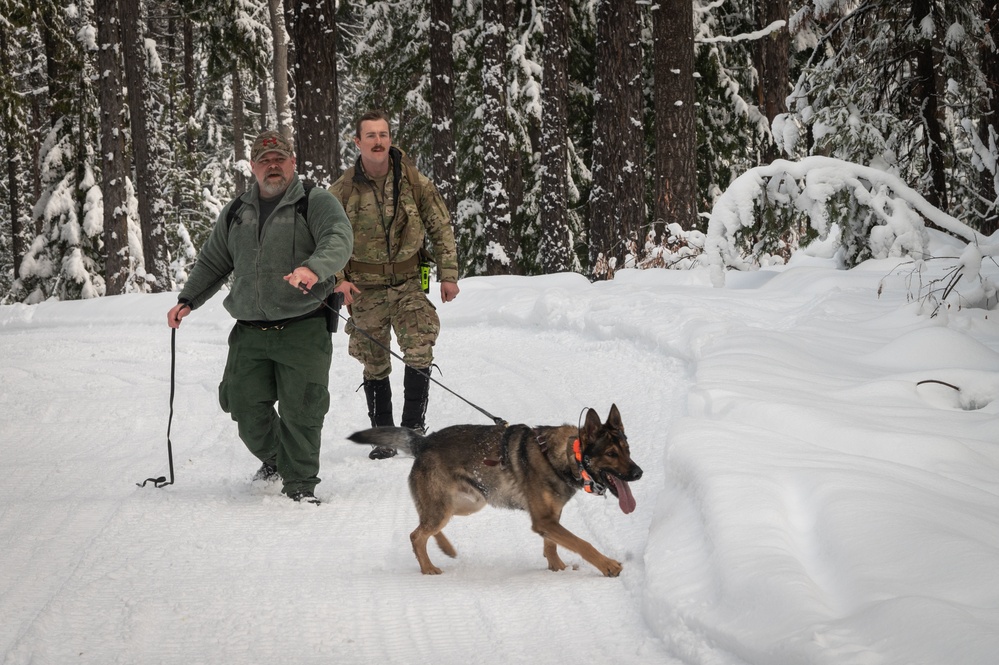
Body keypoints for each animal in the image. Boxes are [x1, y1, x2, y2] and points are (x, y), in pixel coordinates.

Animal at [348, 402, 644, 572]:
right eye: (611, 454)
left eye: (627, 450)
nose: (639, 473)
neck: (567, 455)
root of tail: (424, 442)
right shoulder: (545, 521)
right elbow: (582, 543)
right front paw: (608, 565)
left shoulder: (550, 520)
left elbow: (552, 544)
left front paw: (556, 566)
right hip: (448, 506)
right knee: (417, 534)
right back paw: (429, 568)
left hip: (467, 504)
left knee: (426, 525)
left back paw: (447, 549)